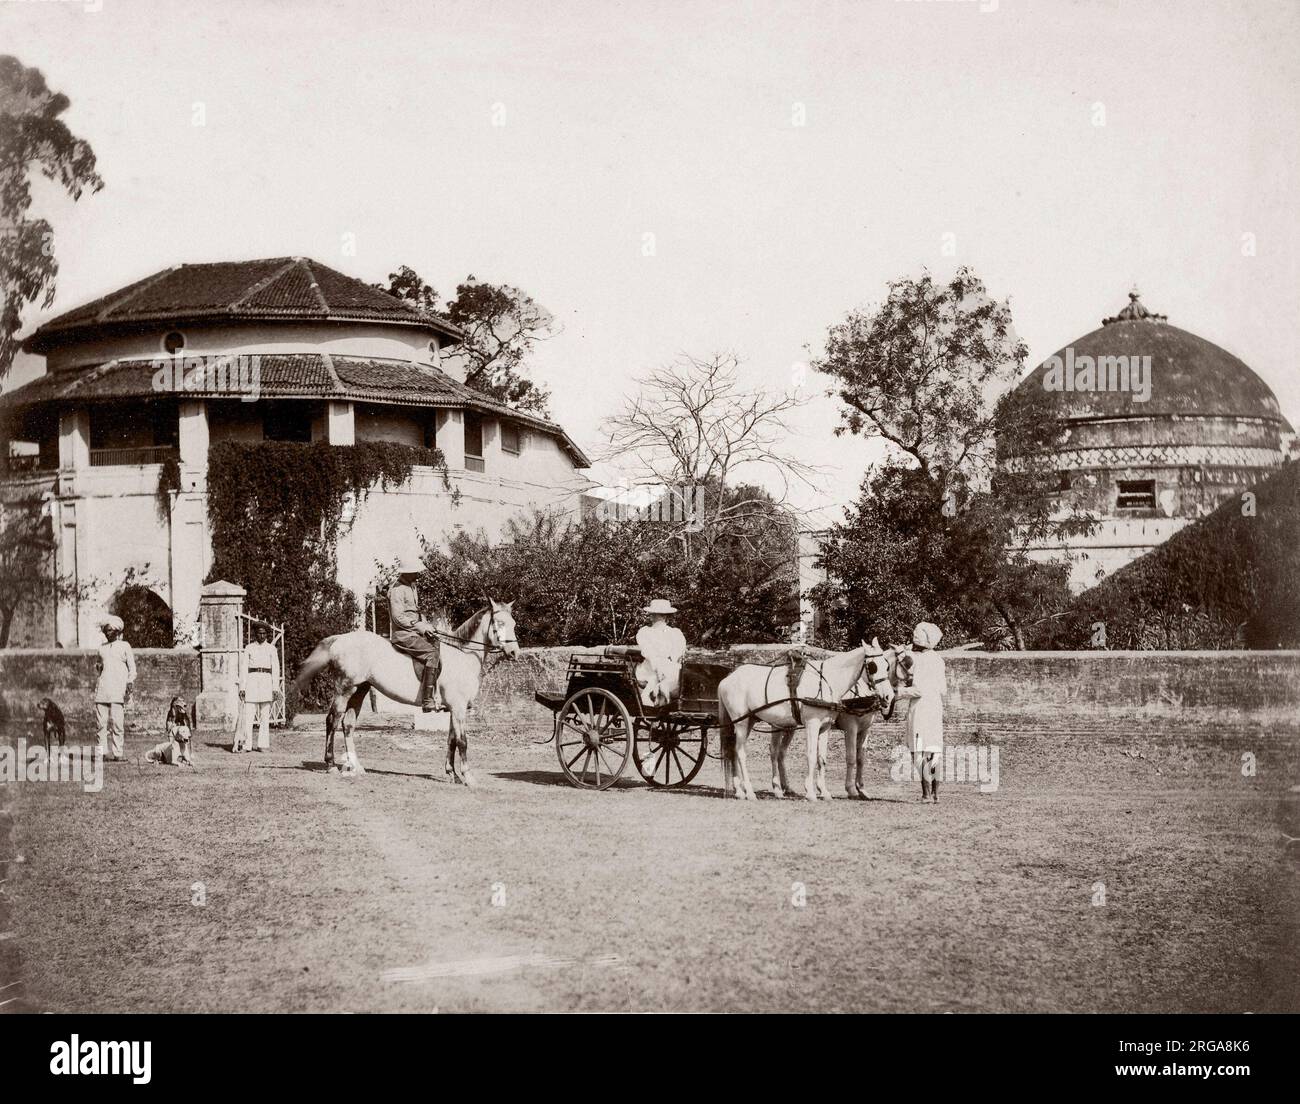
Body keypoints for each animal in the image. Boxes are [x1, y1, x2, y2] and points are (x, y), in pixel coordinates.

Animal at [295, 595, 517, 785]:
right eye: (500, 624)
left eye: (514, 624)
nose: (514, 653)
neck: (463, 656)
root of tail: (340, 639)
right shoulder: (458, 707)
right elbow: (462, 741)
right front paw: (468, 778)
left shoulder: (454, 709)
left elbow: (451, 740)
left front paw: (452, 774)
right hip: (345, 688)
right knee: (332, 720)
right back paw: (331, 765)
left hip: (360, 690)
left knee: (348, 724)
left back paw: (356, 767)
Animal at [717, 637, 899, 801]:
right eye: (873, 666)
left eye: (887, 665)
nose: (888, 696)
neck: (827, 681)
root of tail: (727, 679)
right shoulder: (818, 725)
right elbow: (813, 755)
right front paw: (811, 792)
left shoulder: (826, 727)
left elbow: (822, 758)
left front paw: (824, 792)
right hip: (741, 722)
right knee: (741, 752)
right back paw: (749, 792)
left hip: (751, 721)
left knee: (738, 750)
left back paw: (741, 791)